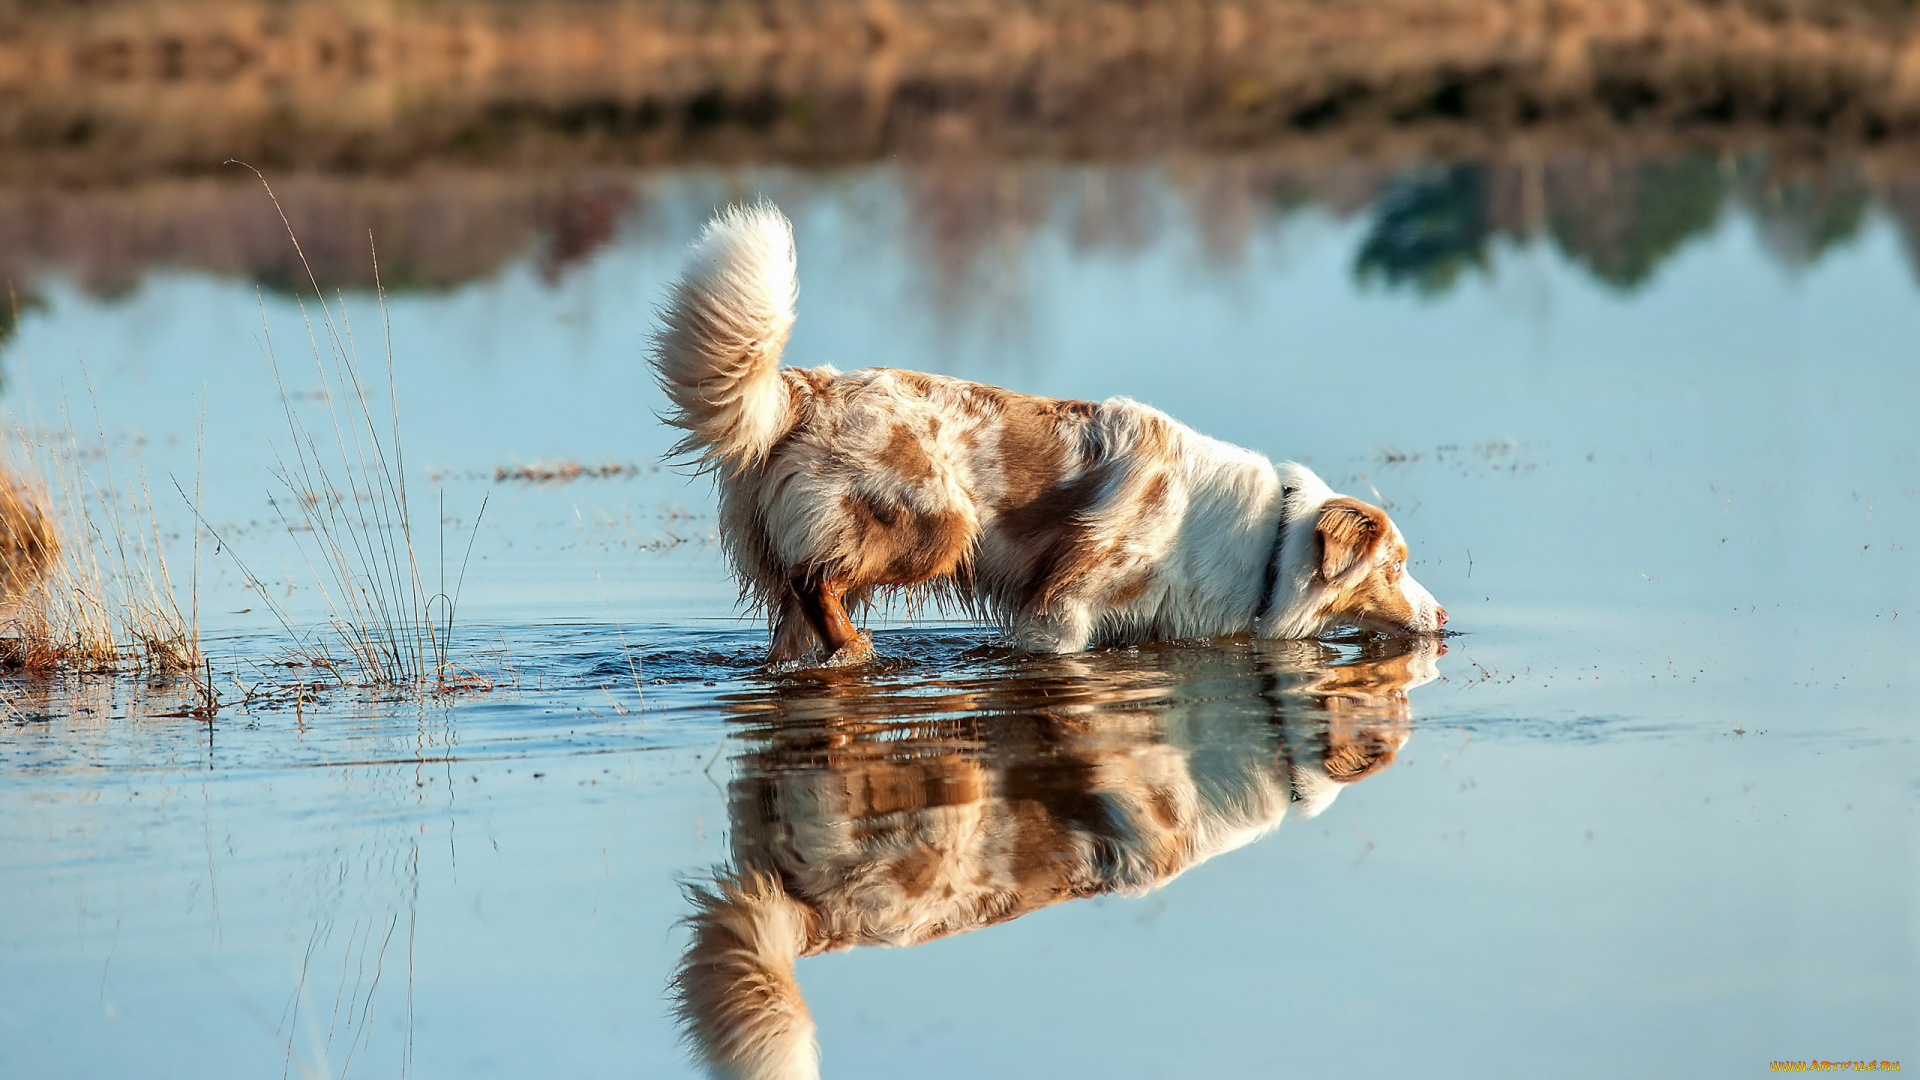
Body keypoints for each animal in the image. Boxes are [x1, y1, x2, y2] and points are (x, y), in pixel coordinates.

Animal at [652, 197, 1443, 661]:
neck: (1267, 543)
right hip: (935, 523)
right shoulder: (1062, 613)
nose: (1440, 616)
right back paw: (858, 649)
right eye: (1395, 566)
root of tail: (808, 388)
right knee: (815, 579)